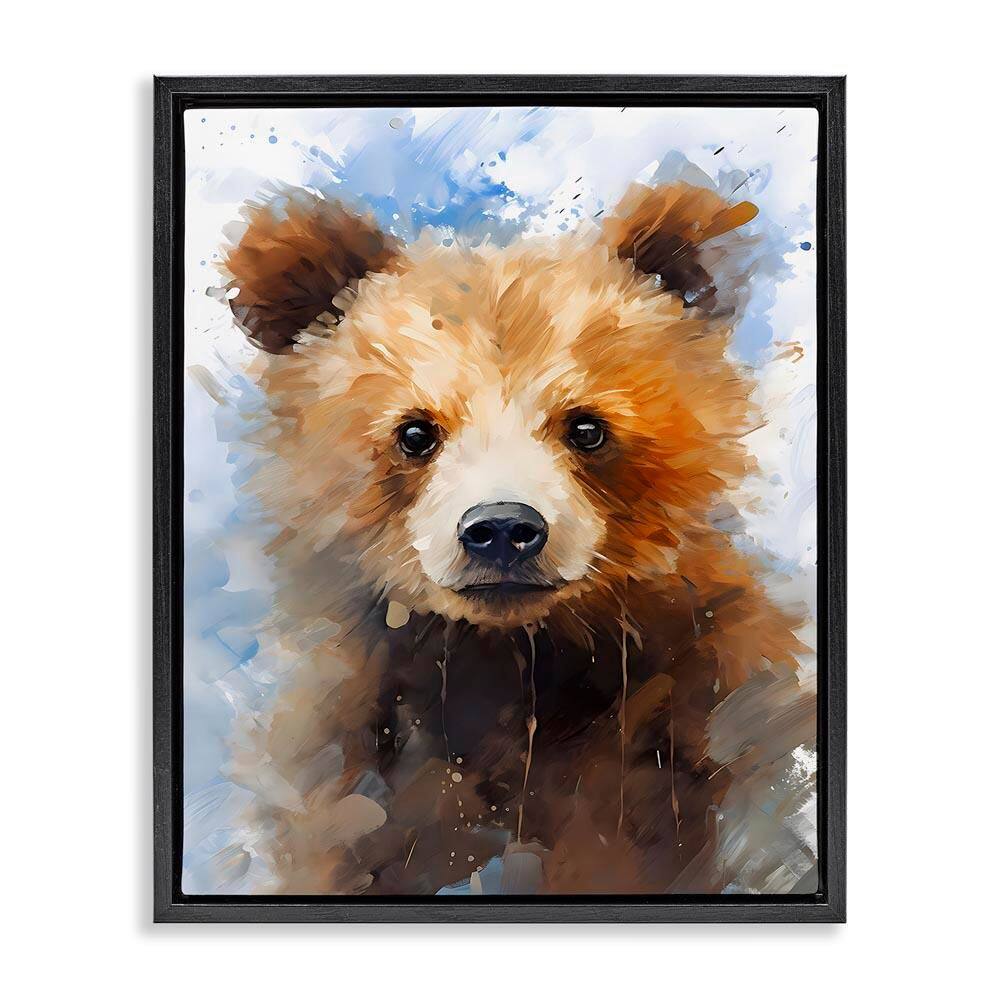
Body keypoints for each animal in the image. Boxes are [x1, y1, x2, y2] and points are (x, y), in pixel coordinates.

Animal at [214, 180, 817, 895]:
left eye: (587, 427)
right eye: (415, 432)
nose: (502, 528)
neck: (516, 663)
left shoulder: (678, 734)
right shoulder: (360, 754)